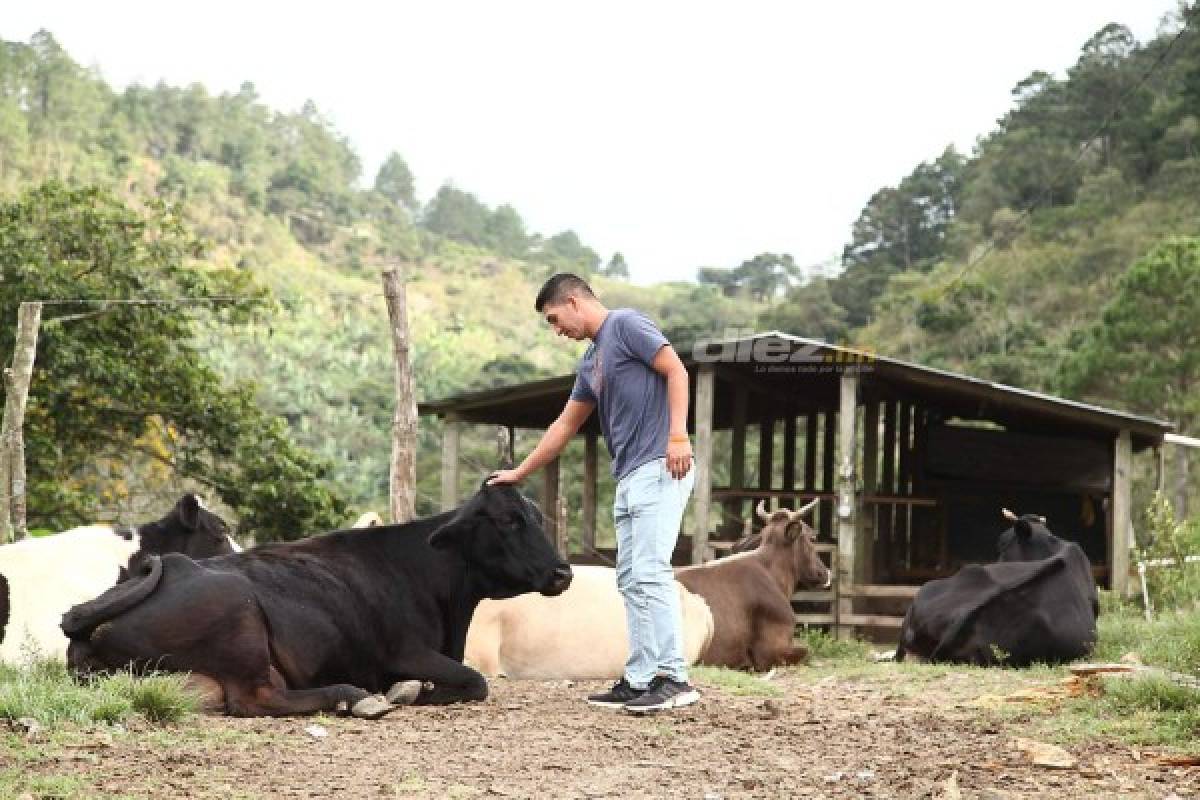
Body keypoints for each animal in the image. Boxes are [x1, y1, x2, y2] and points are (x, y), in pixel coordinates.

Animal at [60, 484, 571, 724]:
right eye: (507, 520)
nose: (563, 572)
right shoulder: (403, 651)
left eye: (536, 516)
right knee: (256, 700)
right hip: (241, 618)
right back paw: (355, 697)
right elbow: (475, 680)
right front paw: (412, 691)